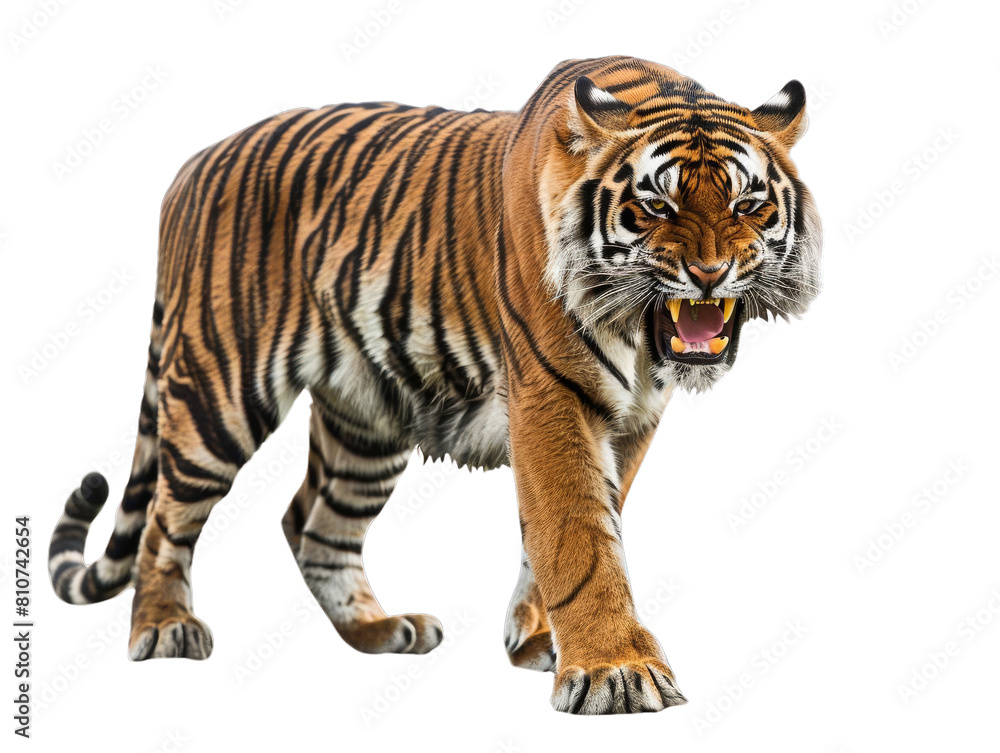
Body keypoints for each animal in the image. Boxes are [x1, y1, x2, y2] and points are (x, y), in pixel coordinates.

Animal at [47, 55, 821, 714]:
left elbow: (566, 528)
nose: (712, 274)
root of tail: (193, 163)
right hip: (221, 390)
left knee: (312, 522)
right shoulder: (553, 396)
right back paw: (164, 627)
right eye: (658, 207)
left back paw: (379, 628)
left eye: (748, 206)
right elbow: (577, 533)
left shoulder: (632, 418)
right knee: (166, 515)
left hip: (367, 423)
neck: (638, 337)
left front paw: (541, 641)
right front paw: (616, 672)